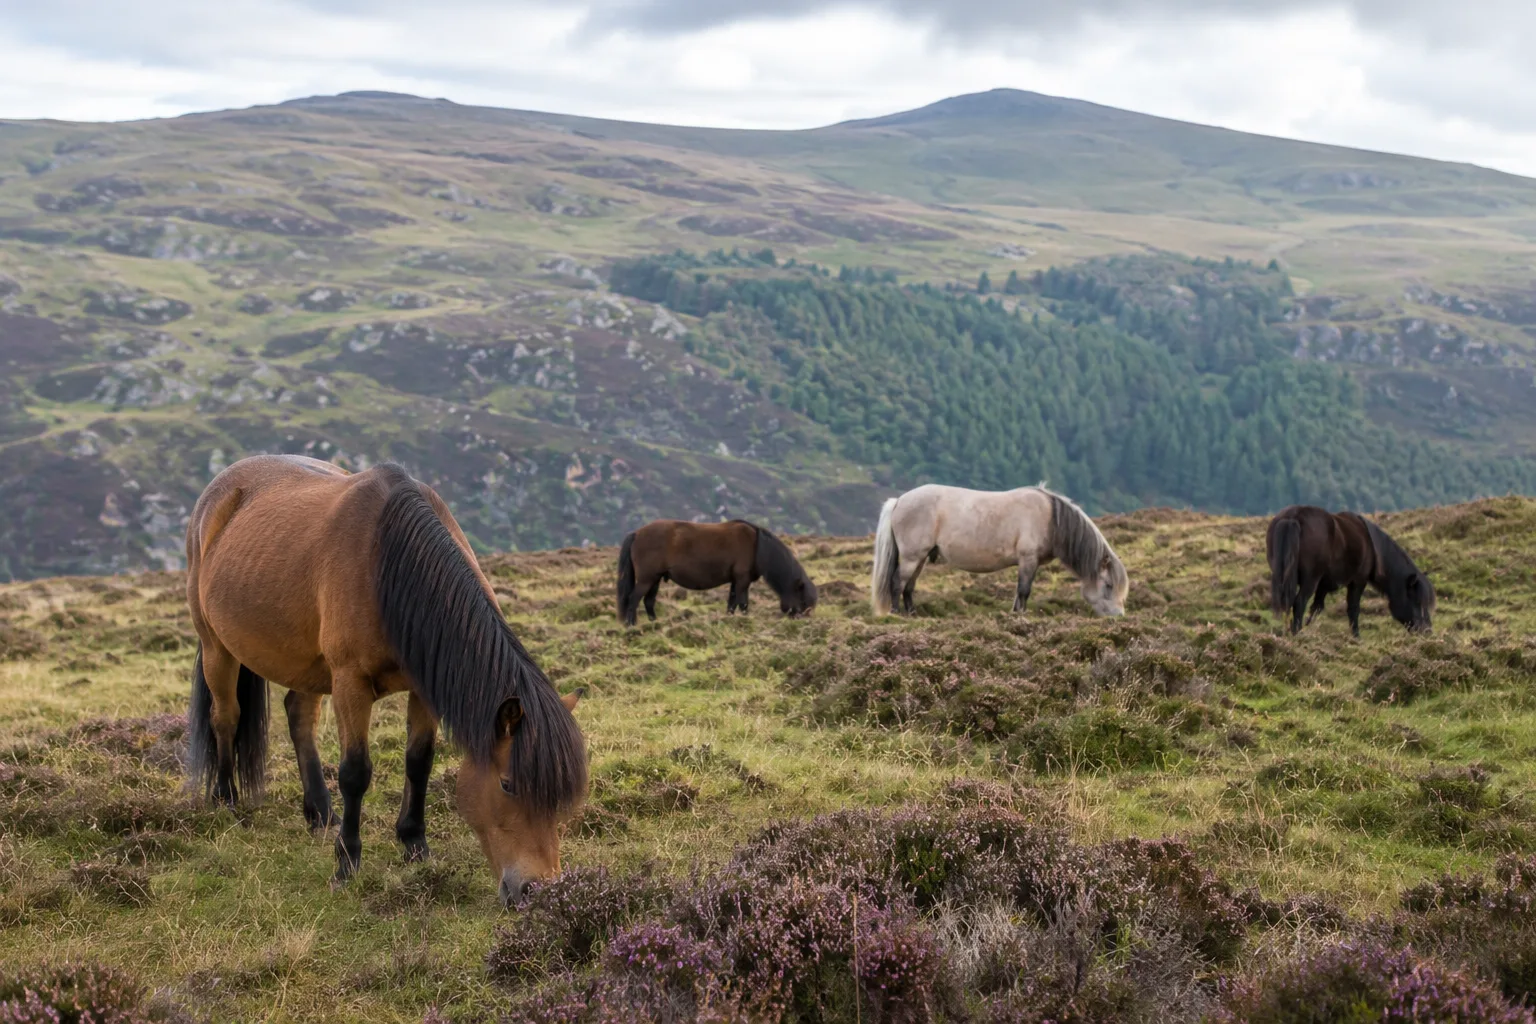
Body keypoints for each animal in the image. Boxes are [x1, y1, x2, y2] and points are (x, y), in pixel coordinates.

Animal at [184, 454, 587, 904]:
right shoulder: (350, 682)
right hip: (217, 647)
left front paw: (414, 844)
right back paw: (226, 801)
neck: (388, 566)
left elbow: (419, 762)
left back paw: (320, 813)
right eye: (508, 785)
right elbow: (355, 772)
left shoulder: (424, 688)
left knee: (299, 716)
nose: (539, 889)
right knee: (226, 718)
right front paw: (346, 862)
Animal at [616, 519, 817, 626]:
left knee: (648, 601)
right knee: (634, 599)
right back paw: (631, 625)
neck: (757, 546)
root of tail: (636, 533)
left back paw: (654, 623)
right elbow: (743, 603)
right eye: (803, 601)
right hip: (646, 579)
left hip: (655, 579)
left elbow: (732, 603)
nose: (803, 622)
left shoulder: (736, 581)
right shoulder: (742, 580)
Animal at [871, 484, 1127, 617]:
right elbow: (1024, 590)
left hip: (920, 558)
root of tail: (899, 500)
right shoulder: (1028, 560)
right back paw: (896, 613)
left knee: (909, 586)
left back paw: (912, 613)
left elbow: (1019, 591)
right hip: (912, 557)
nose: (1119, 616)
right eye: (1108, 585)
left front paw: (1015, 613)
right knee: (897, 582)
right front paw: (1021, 615)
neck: (1051, 519)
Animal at [1266, 505, 1434, 636]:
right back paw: (1297, 633)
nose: (1427, 631)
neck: (1373, 547)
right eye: (1417, 601)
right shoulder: (1358, 580)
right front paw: (1356, 636)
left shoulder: (1323, 585)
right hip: (1310, 579)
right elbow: (1353, 609)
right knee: (1299, 603)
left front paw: (1310, 628)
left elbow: (1317, 608)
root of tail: (1293, 518)